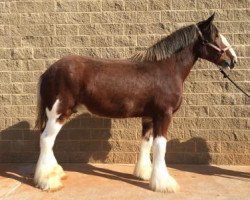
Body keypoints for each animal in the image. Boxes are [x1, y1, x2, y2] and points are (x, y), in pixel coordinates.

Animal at [33, 14, 236, 192]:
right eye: (216, 35)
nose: (233, 60)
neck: (166, 69)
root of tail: (49, 71)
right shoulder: (163, 115)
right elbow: (160, 146)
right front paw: (164, 184)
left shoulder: (148, 117)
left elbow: (146, 143)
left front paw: (144, 174)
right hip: (58, 112)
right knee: (46, 139)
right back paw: (48, 181)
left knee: (47, 140)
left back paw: (56, 173)